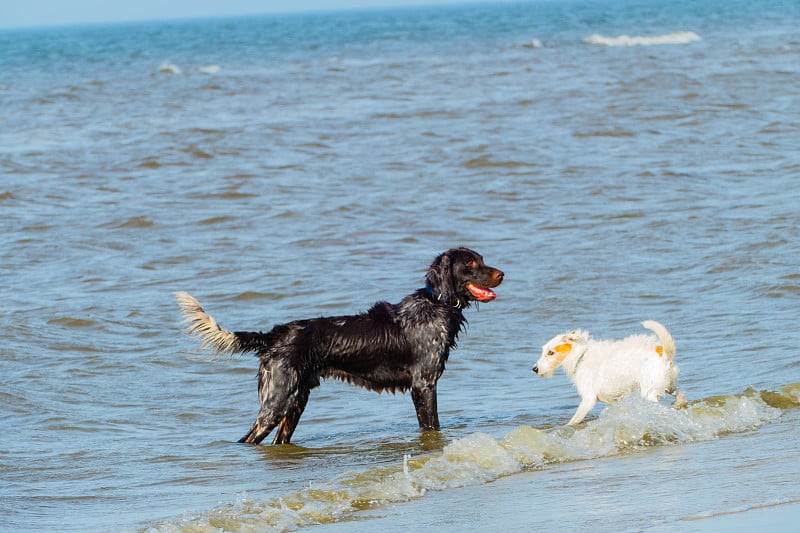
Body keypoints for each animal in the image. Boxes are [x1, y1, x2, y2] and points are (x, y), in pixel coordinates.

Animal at [175, 247, 504, 442]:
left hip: (296, 402)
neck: (437, 305)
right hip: (277, 402)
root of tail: (275, 335)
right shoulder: (423, 385)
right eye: (470, 263)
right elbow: (431, 424)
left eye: (482, 259)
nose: (502, 273)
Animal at [536, 320, 684, 424]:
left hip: (649, 392)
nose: (534, 369)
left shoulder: (588, 400)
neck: (581, 356)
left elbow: (573, 421)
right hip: (669, 386)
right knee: (680, 396)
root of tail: (664, 355)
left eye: (551, 352)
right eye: (544, 350)